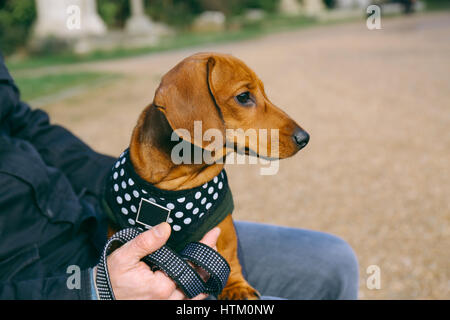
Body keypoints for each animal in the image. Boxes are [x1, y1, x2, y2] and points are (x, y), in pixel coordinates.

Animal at [112, 52, 310, 300]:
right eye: (244, 97)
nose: (305, 138)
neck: (174, 185)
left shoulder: (222, 224)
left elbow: (228, 254)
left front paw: (236, 287)